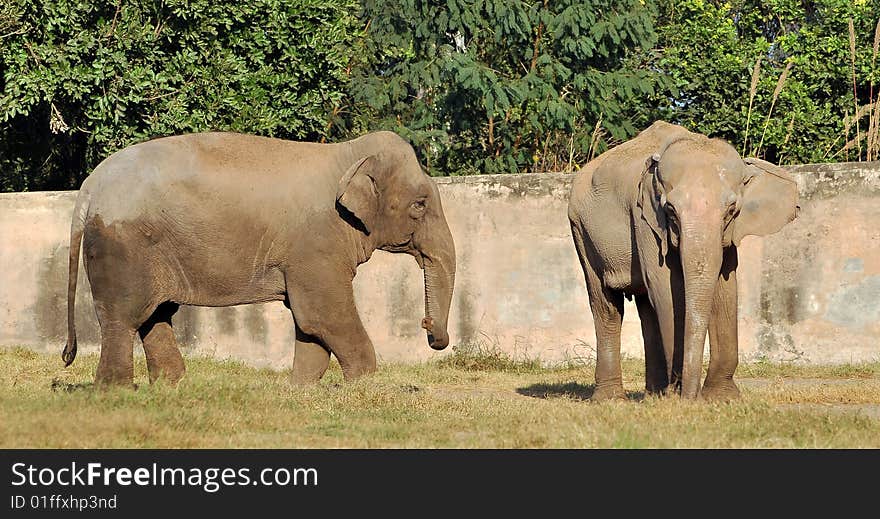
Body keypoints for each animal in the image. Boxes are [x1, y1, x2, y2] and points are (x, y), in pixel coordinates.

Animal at [62, 132, 458, 388]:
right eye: (420, 205)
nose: (428, 328)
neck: (347, 156)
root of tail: (90, 186)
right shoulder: (317, 243)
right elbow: (323, 315)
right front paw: (363, 388)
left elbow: (309, 323)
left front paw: (300, 392)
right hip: (124, 246)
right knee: (124, 317)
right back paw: (116, 392)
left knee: (155, 314)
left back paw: (172, 387)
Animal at [568, 122, 800, 402]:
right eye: (670, 211)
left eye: (731, 210)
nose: (692, 397)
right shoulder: (645, 220)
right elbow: (668, 289)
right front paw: (680, 397)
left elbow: (725, 290)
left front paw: (721, 398)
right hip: (581, 230)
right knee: (607, 305)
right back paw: (613, 400)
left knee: (647, 308)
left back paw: (654, 396)